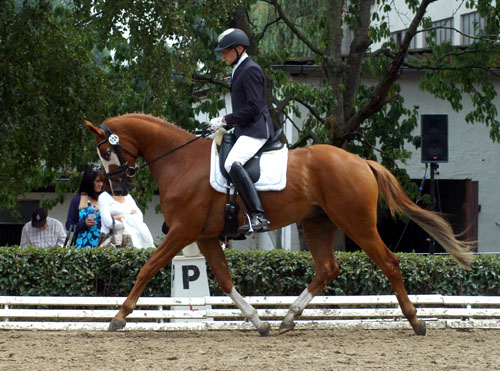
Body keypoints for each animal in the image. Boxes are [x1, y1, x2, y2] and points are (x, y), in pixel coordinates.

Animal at [85, 113, 472, 338]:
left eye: (105, 151)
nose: (118, 189)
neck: (180, 161)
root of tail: (360, 161)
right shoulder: (206, 236)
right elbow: (224, 280)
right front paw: (259, 321)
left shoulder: (183, 230)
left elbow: (148, 268)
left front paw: (119, 317)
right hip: (317, 225)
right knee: (327, 268)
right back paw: (288, 318)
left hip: (356, 223)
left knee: (388, 262)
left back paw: (416, 321)